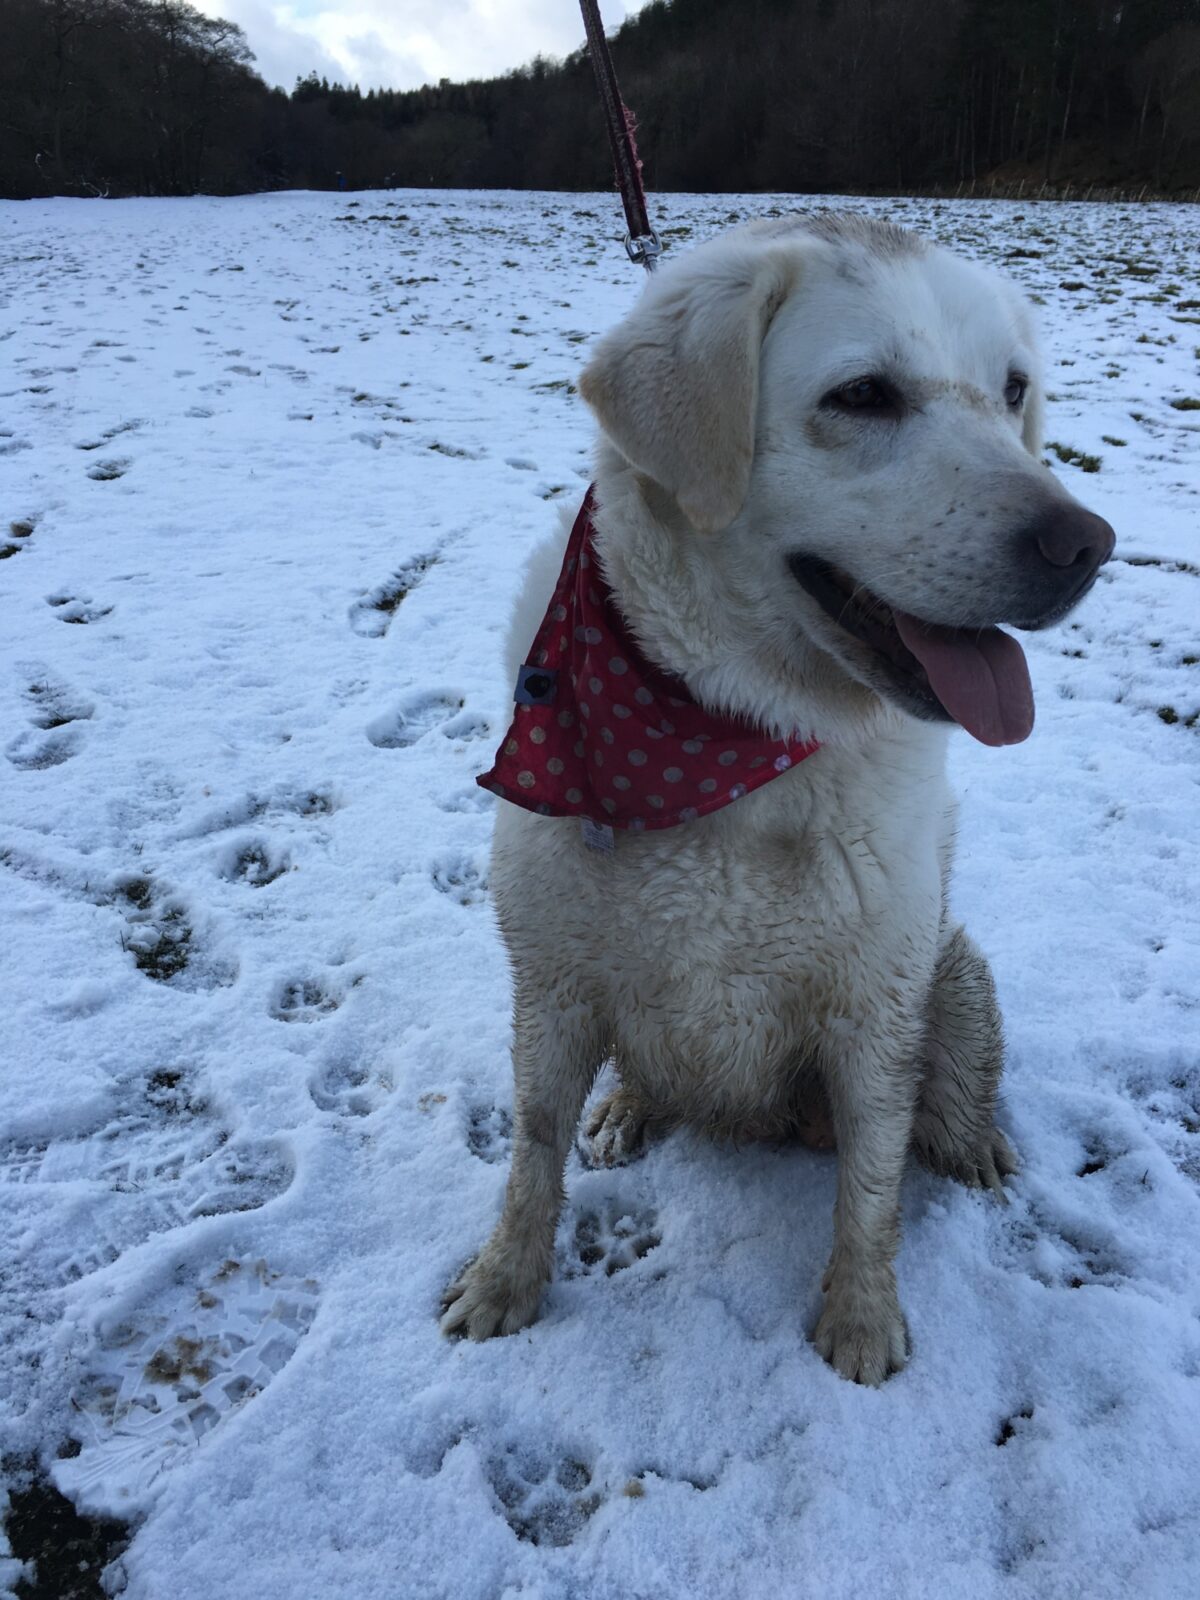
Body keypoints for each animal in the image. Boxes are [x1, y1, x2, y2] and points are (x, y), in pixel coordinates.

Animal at [441, 216, 1120, 1388]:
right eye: (864, 396)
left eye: (1013, 390)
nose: (1084, 543)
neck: (737, 737)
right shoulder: (552, 978)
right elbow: (530, 1148)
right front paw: (503, 1281)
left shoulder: (878, 1000)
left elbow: (873, 1186)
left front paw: (859, 1316)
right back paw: (627, 1106)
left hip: (956, 974)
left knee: (946, 1111)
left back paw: (980, 1145)